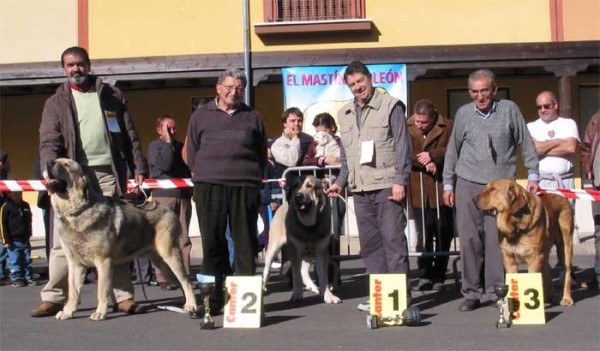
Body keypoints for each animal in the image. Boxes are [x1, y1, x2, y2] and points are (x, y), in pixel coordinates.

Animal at [45, 160, 199, 322]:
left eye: (67, 165)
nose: (49, 162)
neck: (77, 211)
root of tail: (169, 211)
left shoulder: (103, 262)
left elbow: (102, 290)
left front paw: (100, 312)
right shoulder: (75, 264)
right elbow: (73, 291)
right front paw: (68, 311)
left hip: (169, 255)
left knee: (186, 281)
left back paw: (191, 305)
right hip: (161, 263)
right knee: (179, 281)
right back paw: (184, 302)